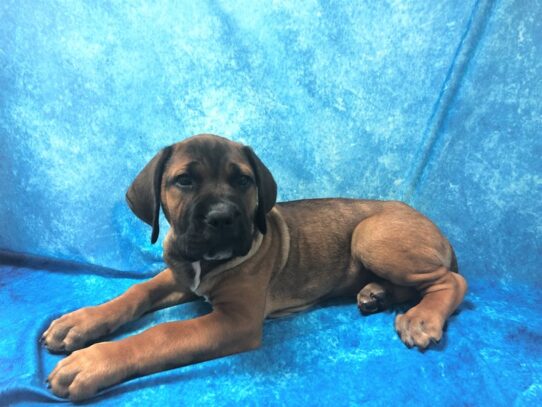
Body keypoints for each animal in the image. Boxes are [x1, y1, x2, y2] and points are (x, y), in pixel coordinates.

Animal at [42, 135, 468, 404]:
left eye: (243, 180)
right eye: (184, 181)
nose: (222, 218)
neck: (204, 263)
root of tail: (436, 228)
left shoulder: (237, 319)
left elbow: (161, 333)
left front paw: (93, 362)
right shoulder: (179, 275)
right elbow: (136, 292)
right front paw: (79, 322)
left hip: (370, 235)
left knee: (452, 280)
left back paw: (422, 318)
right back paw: (375, 294)